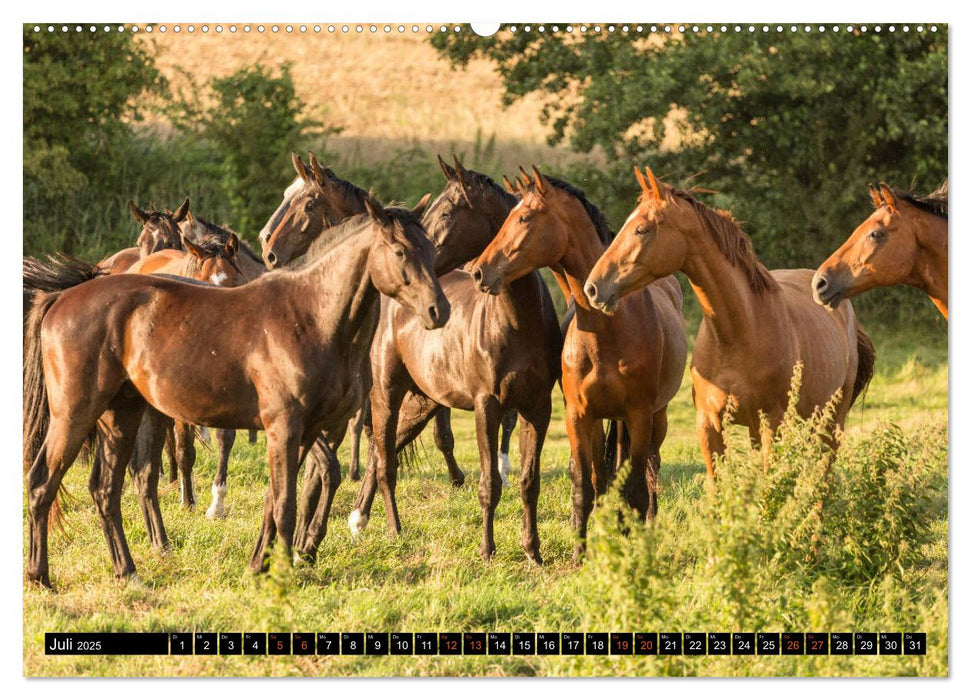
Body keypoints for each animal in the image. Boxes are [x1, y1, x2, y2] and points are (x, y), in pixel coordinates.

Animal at [22, 197, 448, 584]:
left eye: (431, 250)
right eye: (399, 251)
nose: (437, 310)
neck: (308, 314)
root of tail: (63, 297)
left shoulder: (303, 432)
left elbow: (280, 498)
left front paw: (261, 564)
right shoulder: (284, 428)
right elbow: (286, 503)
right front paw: (281, 571)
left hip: (121, 415)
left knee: (106, 490)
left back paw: (128, 572)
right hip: (75, 414)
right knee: (44, 482)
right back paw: (40, 576)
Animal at [348, 157, 560, 564]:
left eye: (447, 212)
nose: (423, 266)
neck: (519, 321)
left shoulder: (538, 408)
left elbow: (529, 482)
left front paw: (533, 552)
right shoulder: (487, 406)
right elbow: (490, 483)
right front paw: (487, 550)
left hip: (422, 403)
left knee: (381, 452)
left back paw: (359, 520)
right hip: (387, 396)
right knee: (385, 461)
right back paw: (390, 529)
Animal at [468, 167, 684, 560]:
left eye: (524, 217)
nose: (479, 271)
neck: (608, 327)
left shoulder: (639, 415)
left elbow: (635, 487)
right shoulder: (579, 416)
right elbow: (586, 484)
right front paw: (580, 553)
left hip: (657, 418)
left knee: (651, 469)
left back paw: (645, 526)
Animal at [584, 167, 880, 478]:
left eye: (642, 229)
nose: (593, 288)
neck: (738, 333)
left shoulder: (772, 425)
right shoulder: (709, 427)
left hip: (831, 421)